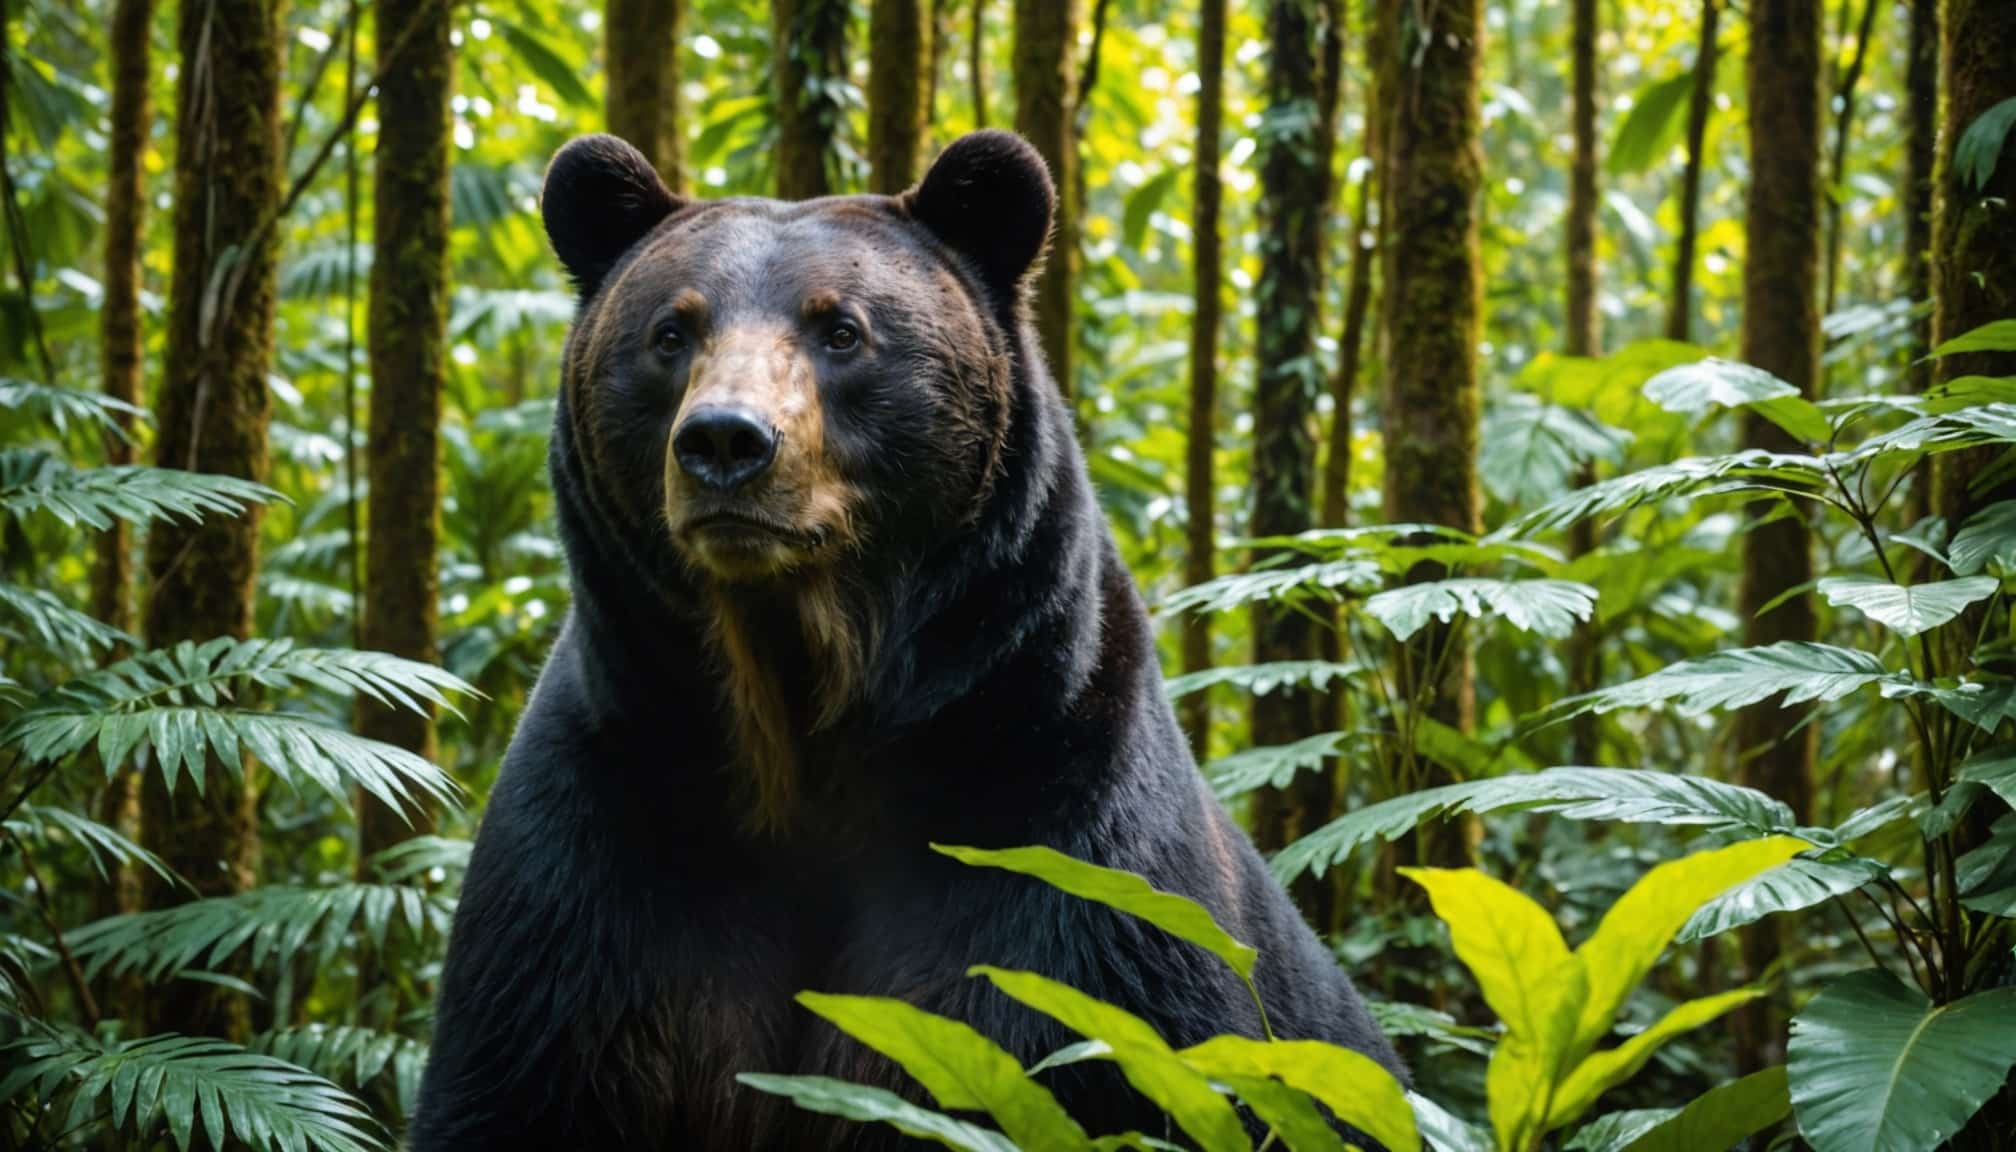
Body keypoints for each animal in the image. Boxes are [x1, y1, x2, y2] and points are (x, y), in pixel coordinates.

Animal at [409, 131, 1403, 1145]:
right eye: (670, 332)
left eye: (842, 330)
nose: (725, 442)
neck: (792, 712)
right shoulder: (603, 849)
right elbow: (523, 1074)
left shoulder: (1058, 849)